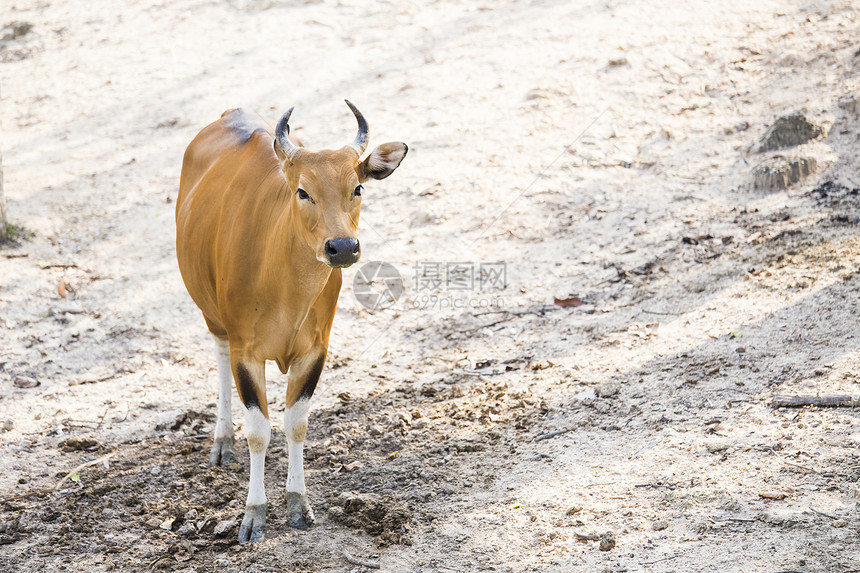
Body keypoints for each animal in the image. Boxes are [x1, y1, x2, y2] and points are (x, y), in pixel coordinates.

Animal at [176, 100, 410, 544]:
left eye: (357, 188)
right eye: (303, 191)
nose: (342, 247)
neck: (283, 287)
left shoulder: (314, 350)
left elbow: (296, 424)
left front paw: (298, 503)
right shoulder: (246, 352)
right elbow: (258, 431)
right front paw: (254, 514)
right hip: (211, 314)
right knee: (218, 357)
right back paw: (222, 440)